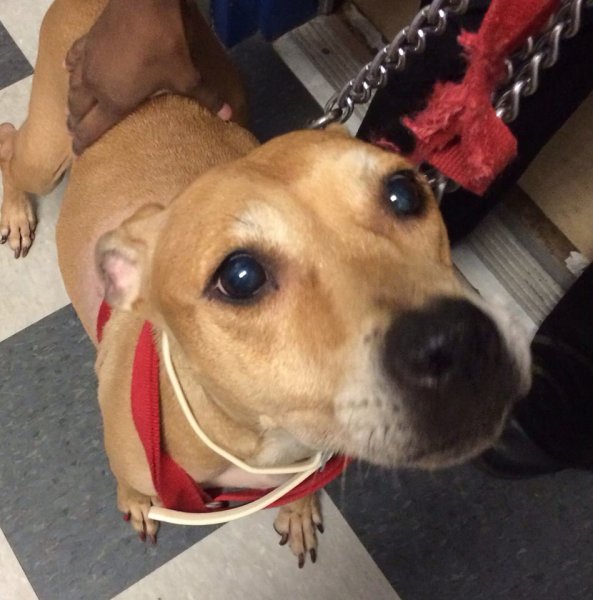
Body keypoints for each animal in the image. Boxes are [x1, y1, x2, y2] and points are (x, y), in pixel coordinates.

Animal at [0, 0, 531, 566]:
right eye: (240, 277)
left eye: (405, 192)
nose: (460, 342)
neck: (267, 443)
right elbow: (132, 488)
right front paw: (137, 504)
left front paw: (297, 512)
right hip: (47, 151)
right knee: (10, 142)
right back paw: (16, 212)